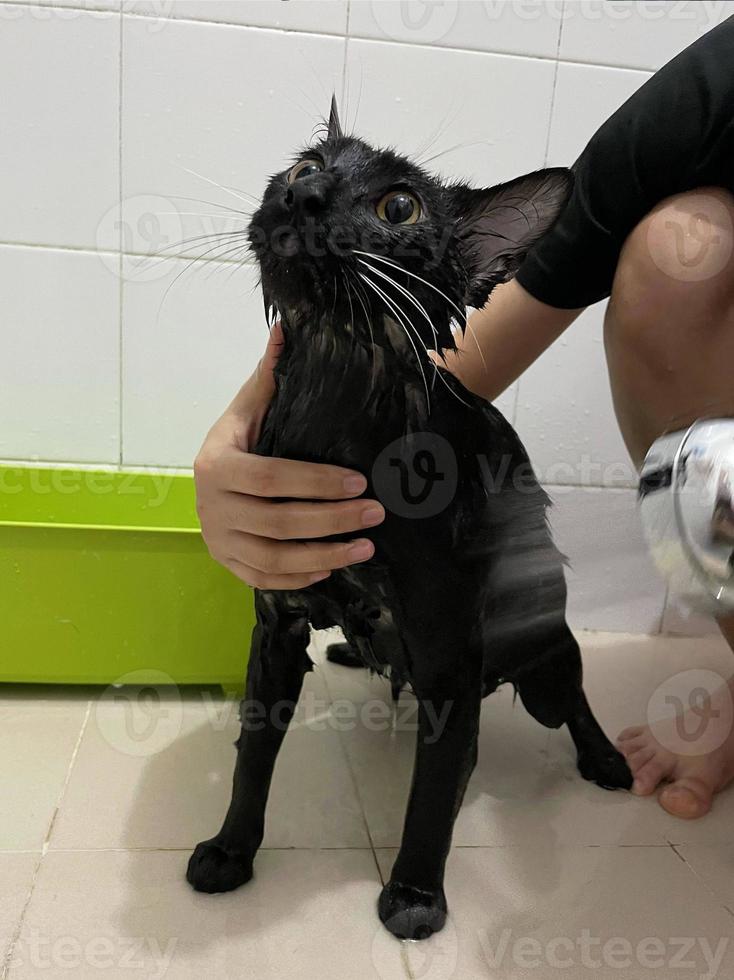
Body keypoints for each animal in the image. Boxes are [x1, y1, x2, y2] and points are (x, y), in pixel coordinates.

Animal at [188, 99, 632, 940]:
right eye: (305, 166)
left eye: (399, 207)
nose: (305, 196)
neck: (331, 400)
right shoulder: (276, 630)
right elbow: (250, 759)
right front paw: (230, 850)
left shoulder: (451, 664)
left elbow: (432, 800)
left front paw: (416, 898)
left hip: (543, 664)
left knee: (574, 698)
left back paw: (606, 759)